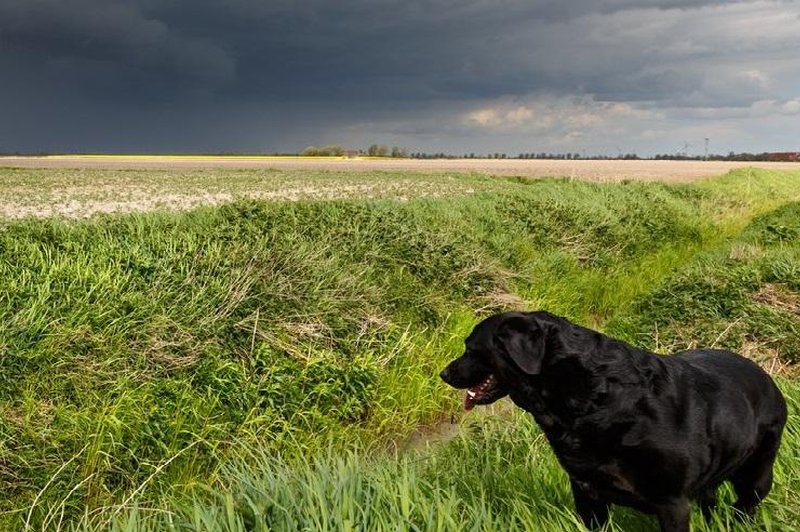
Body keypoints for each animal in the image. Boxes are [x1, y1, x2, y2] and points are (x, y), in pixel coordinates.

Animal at [440, 310, 792, 532]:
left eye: (471, 348)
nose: (444, 373)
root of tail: (766, 376)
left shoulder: (672, 502)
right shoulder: (586, 494)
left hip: (757, 474)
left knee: (745, 504)